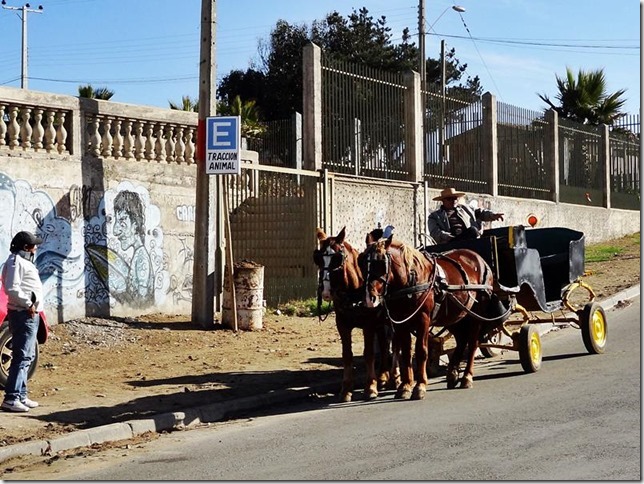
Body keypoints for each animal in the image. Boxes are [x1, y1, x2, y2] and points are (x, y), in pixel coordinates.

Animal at [314, 227, 398, 400]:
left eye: (337, 258)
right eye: (318, 258)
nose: (325, 292)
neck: (353, 292)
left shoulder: (368, 324)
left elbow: (369, 354)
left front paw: (370, 387)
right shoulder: (342, 325)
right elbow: (347, 355)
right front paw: (346, 388)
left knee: (395, 345)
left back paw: (395, 377)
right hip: (382, 323)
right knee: (385, 344)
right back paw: (383, 376)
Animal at [364, 233, 496, 398]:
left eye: (382, 262)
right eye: (363, 262)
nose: (370, 297)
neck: (411, 280)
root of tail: (479, 259)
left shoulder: (423, 319)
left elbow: (421, 351)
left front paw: (419, 386)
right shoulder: (401, 323)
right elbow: (406, 353)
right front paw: (405, 386)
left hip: (476, 314)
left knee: (472, 342)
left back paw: (467, 377)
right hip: (455, 316)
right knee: (461, 340)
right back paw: (452, 375)